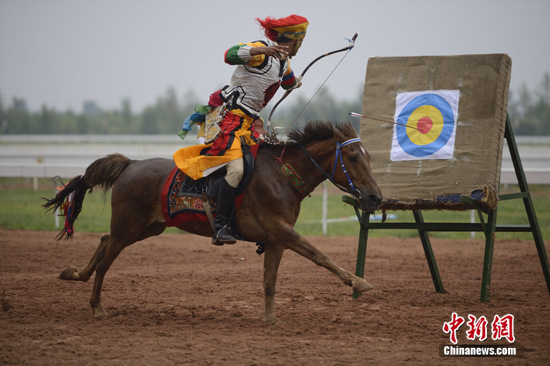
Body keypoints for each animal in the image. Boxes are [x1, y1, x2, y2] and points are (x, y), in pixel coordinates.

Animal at [45, 121, 384, 324]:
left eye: (368, 156)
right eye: (353, 157)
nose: (375, 197)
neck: (281, 176)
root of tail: (131, 164)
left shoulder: (276, 239)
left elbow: (270, 281)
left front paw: (270, 319)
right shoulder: (282, 231)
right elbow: (320, 255)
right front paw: (359, 282)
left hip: (147, 227)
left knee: (104, 242)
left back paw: (73, 273)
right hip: (130, 225)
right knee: (106, 259)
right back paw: (96, 306)